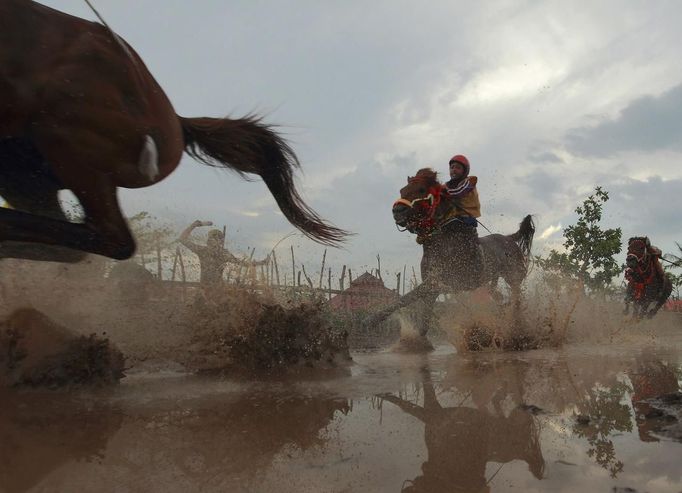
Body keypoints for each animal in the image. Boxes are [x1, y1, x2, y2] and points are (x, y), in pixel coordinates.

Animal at [366, 167, 532, 336]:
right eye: (402, 190)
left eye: (421, 189)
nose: (397, 211)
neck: (440, 243)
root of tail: (509, 238)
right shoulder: (434, 287)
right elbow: (423, 322)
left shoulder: (438, 282)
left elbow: (406, 298)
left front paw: (371, 320)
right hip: (492, 279)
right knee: (499, 297)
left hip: (514, 278)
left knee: (516, 300)